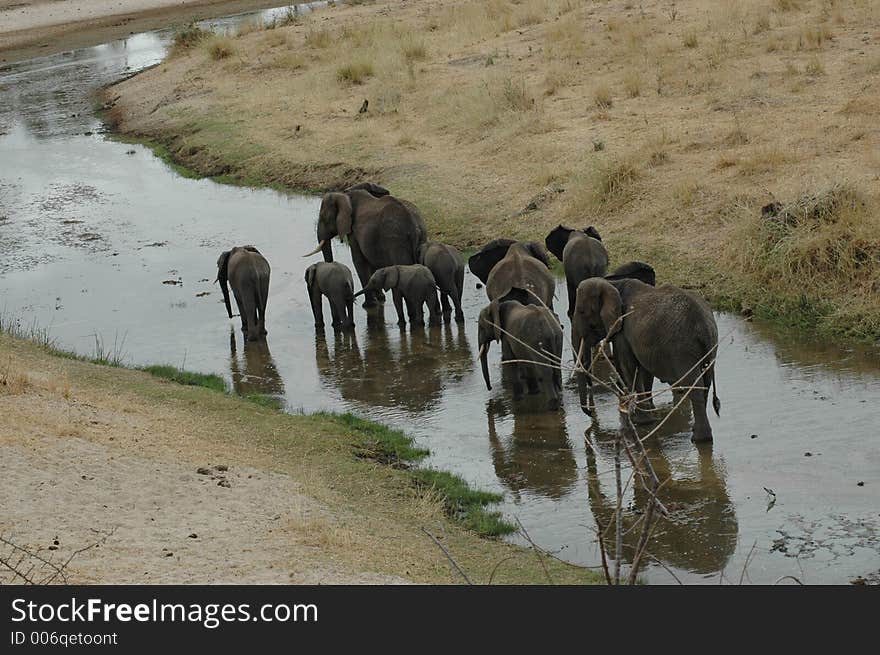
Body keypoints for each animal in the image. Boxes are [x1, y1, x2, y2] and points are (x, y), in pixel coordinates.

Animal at [572, 276, 720, 440]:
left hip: (683, 348)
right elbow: (644, 371)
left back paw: (700, 439)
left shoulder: (623, 330)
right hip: (710, 347)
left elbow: (628, 368)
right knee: (706, 382)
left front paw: (640, 421)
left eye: (582, 311)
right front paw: (649, 413)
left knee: (694, 385)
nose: (589, 413)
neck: (613, 283)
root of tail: (703, 325)